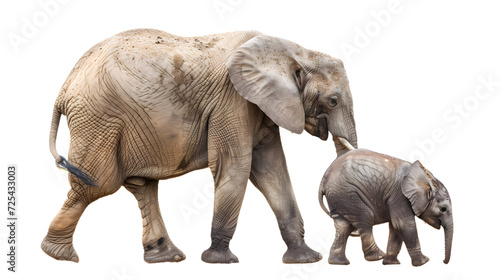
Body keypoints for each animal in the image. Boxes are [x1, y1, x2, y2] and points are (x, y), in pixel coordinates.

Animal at [42, 29, 356, 264]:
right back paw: (59, 256)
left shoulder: (261, 108)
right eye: (333, 101)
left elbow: (272, 171)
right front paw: (220, 260)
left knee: (141, 185)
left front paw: (305, 259)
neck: (294, 51)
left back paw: (166, 257)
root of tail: (64, 88)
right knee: (97, 184)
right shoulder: (232, 101)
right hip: (98, 119)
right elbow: (236, 168)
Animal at [320, 148, 454, 266]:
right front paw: (423, 262)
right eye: (443, 209)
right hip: (347, 193)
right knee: (365, 217)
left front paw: (391, 263)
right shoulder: (399, 195)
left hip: (338, 196)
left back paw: (338, 262)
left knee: (343, 225)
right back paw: (377, 256)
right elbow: (403, 223)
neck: (426, 178)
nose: (443, 261)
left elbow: (395, 227)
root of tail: (323, 179)